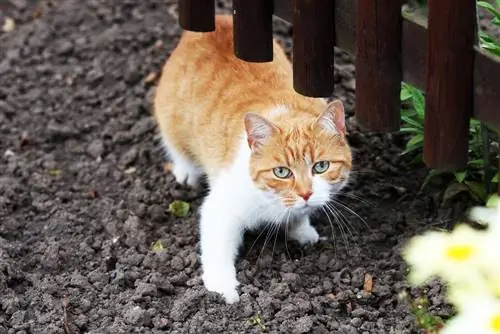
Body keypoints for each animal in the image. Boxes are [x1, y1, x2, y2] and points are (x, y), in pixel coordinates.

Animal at [152, 15, 352, 302]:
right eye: (282, 172)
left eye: (321, 166)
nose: (305, 193)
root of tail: (220, 19)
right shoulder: (220, 210)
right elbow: (217, 251)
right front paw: (221, 290)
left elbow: (299, 217)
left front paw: (302, 230)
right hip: (171, 119)